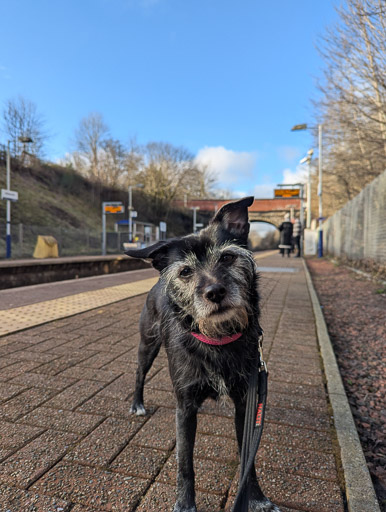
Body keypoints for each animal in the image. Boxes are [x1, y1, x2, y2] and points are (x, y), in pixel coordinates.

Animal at [125, 197, 278, 512]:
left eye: (228, 258)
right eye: (185, 271)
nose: (215, 292)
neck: (217, 338)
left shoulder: (246, 403)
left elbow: (248, 458)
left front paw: (256, 497)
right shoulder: (184, 408)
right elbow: (185, 463)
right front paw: (185, 504)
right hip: (148, 344)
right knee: (139, 373)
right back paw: (137, 404)